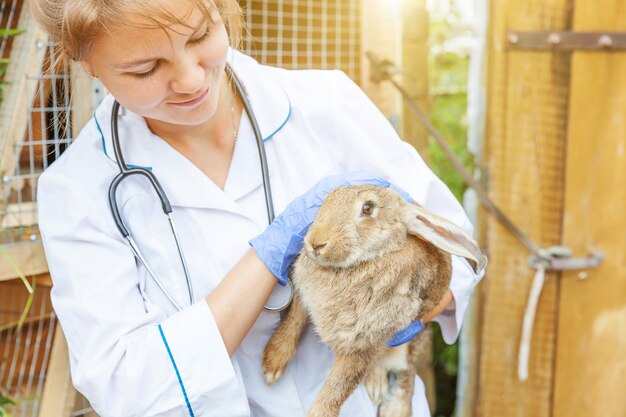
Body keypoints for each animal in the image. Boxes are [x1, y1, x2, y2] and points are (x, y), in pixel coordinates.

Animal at [260, 185, 486, 416]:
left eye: (367, 208)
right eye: (326, 200)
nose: (315, 243)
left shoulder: (364, 342)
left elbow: (337, 386)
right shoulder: (304, 297)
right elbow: (293, 322)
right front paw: (272, 364)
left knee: (406, 371)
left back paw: (393, 407)